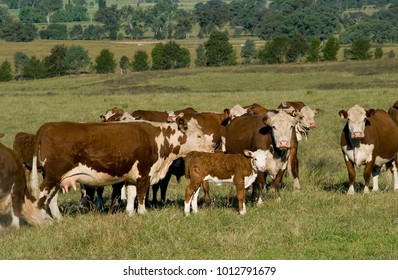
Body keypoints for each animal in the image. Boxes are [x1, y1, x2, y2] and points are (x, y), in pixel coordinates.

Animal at [30, 116, 215, 223]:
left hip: (56, 179)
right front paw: (142, 213)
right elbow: (141, 195)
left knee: (51, 199)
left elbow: (131, 195)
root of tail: (49, 125)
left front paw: (130, 213)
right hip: (52, 176)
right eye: (199, 135)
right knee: (40, 197)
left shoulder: (131, 177)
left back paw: (58, 219)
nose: (212, 149)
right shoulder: (144, 173)